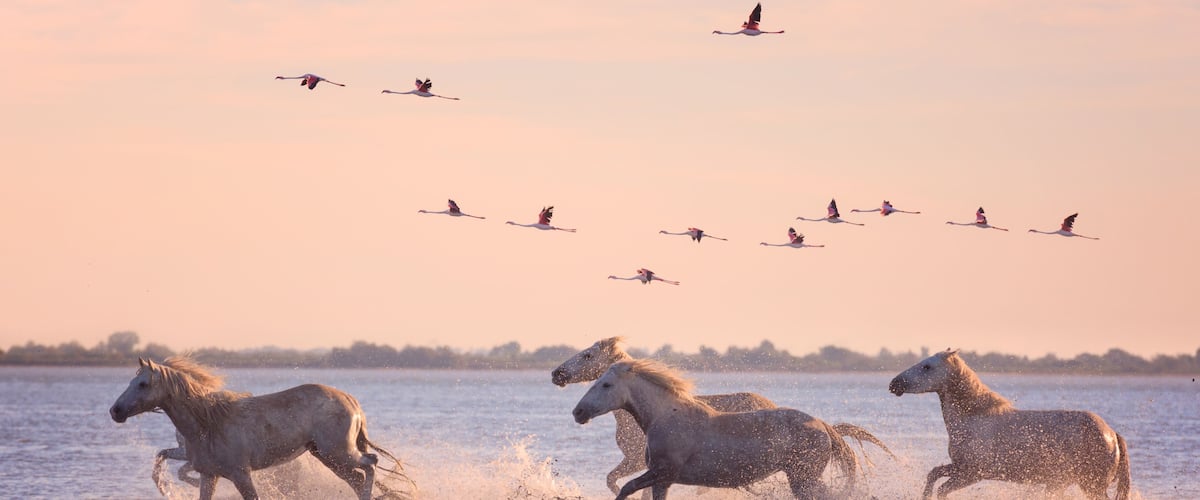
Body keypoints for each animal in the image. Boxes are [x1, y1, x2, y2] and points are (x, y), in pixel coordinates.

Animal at [110, 356, 412, 500]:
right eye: (131, 381)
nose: (115, 411)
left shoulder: (241, 474)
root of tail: (351, 400)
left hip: (339, 453)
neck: (208, 423)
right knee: (359, 478)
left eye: (143, 384)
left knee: (371, 464)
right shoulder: (210, 475)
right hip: (328, 457)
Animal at [551, 336, 893, 495]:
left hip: (802, 477)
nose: (556, 374)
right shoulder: (653, 470)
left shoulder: (640, 463)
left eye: (588, 355)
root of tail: (822, 424)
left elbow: (616, 482)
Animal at [889, 349, 1131, 499]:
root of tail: (1112, 434)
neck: (973, 419)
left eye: (927, 366)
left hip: (1091, 485)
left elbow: (942, 489)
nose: (894, 384)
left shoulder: (972, 474)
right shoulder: (959, 467)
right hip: (1064, 483)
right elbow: (933, 474)